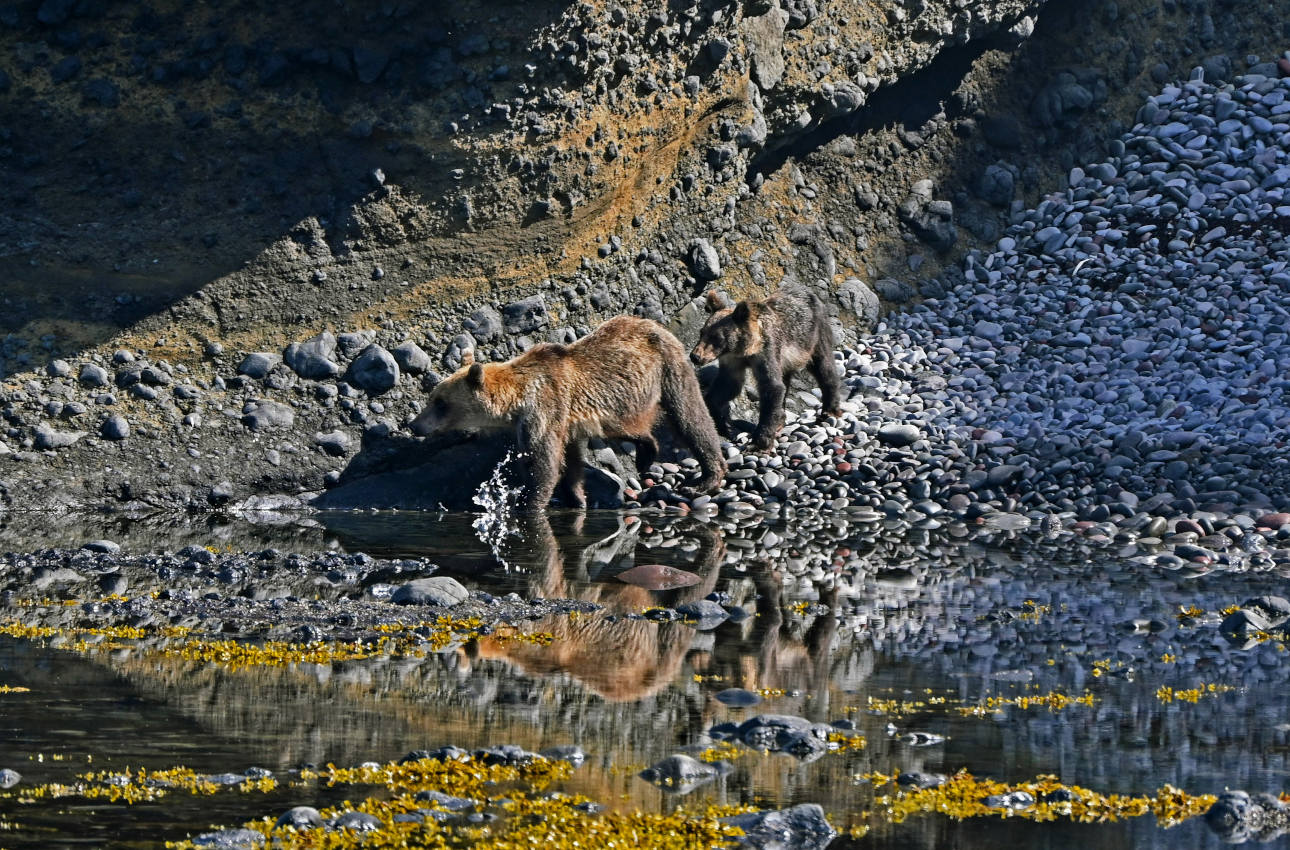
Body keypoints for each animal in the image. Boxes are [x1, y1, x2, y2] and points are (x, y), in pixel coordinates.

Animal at [412, 316, 727, 508]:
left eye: (440, 402)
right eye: (432, 398)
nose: (415, 424)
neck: (517, 398)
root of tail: (655, 324)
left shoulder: (544, 410)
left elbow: (545, 463)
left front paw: (530, 501)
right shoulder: (564, 422)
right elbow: (571, 460)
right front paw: (577, 497)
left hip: (668, 368)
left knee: (690, 416)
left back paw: (705, 479)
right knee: (631, 429)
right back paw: (646, 452)